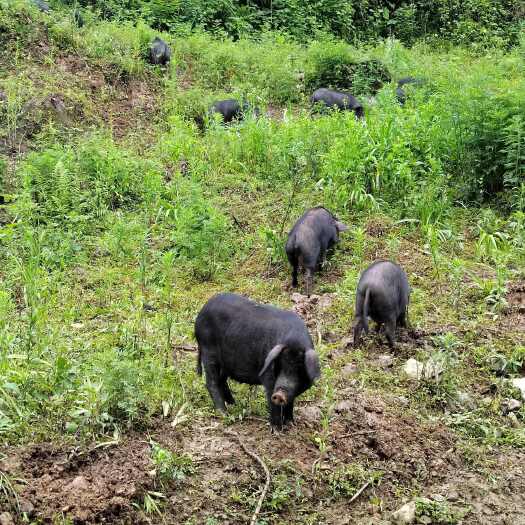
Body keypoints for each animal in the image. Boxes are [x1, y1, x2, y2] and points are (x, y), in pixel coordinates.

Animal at [195, 292, 320, 428]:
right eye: (280, 363)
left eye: (299, 368)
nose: (279, 394)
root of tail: (202, 311)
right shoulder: (268, 376)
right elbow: (272, 400)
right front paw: (277, 429)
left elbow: (290, 403)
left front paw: (291, 423)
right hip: (208, 351)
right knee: (211, 382)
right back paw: (224, 413)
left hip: (225, 362)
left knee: (221, 381)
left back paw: (234, 404)